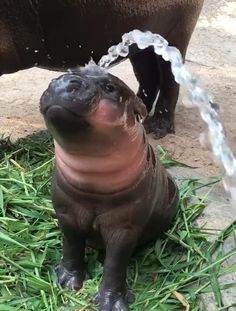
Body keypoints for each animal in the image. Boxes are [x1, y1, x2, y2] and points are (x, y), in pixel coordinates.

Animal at [0, 0, 204, 137]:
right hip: (142, 42)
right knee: (149, 78)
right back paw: (134, 116)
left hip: (177, 33)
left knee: (170, 80)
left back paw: (157, 129)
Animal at [39, 64, 178, 310]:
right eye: (66, 71)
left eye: (109, 87)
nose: (62, 82)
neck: (93, 183)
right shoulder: (66, 212)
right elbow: (71, 246)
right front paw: (65, 282)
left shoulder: (124, 227)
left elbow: (115, 264)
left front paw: (111, 303)